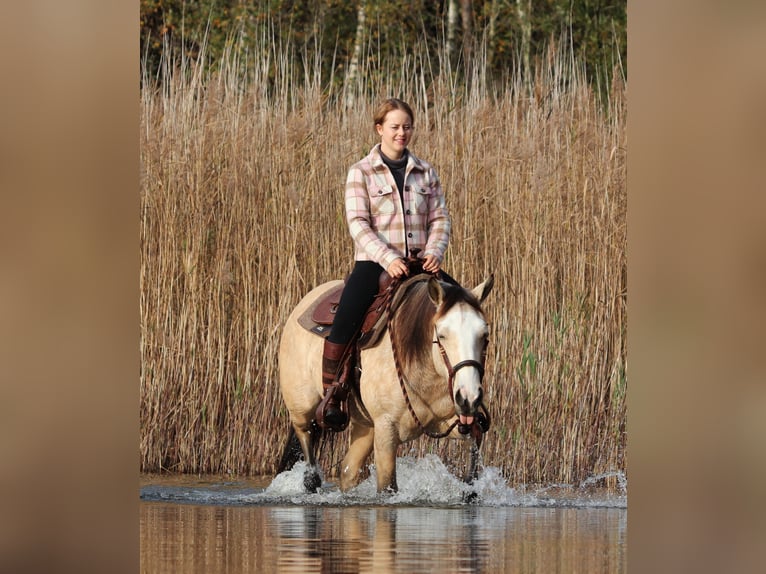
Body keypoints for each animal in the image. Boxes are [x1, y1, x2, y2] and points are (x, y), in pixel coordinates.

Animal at [277, 273, 494, 494]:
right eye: (441, 335)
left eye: (485, 336)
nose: (469, 398)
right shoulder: (386, 428)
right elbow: (387, 487)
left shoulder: (450, 423)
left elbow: (474, 445)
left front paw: (470, 491)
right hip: (303, 411)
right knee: (310, 464)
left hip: (364, 426)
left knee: (348, 471)